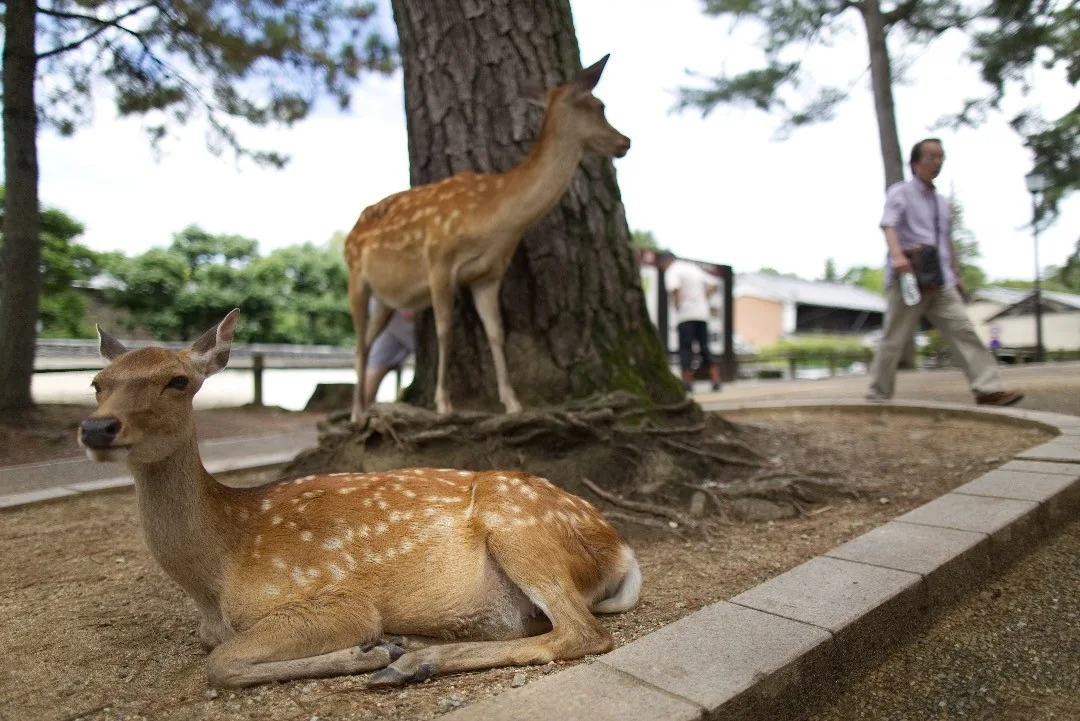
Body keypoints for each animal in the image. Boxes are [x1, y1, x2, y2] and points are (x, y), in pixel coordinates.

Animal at [78, 309, 643, 690]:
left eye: (178, 380)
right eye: (96, 382)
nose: (97, 427)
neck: (217, 572)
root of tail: (621, 549)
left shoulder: (334, 598)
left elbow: (220, 664)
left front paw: (368, 652)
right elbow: (217, 654)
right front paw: (373, 652)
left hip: (519, 524)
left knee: (583, 633)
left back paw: (408, 662)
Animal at [343, 54, 632, 422]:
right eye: (598, 105)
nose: (625, 142)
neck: (494, 219)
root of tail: (349, 234)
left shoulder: (489, 274)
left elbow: (496, 333)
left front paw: (513, 402)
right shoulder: (438, 259)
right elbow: (445, 329)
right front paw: (444, 403)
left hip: (385, 300)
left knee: (367, 340)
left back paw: (362, 409)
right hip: (355, 276)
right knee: (358, 342)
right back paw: (355, 413)